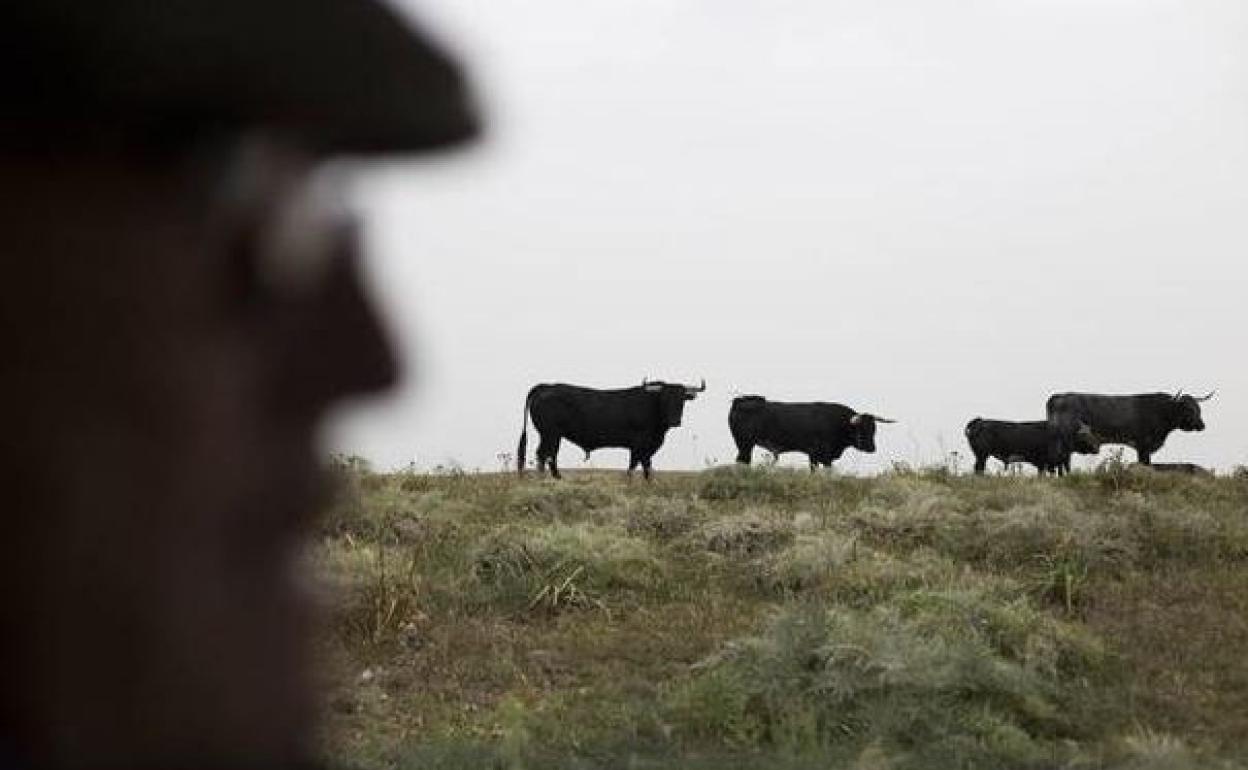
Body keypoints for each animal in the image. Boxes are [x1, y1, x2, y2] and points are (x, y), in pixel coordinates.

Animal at [511, 376, 703, 476]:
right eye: (664, 399)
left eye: (682, 400)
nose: (675, 421)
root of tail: (546, 386)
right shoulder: (639, 444)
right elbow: (636, 465)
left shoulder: (647, 446)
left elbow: (645, 466)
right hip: (550, 433)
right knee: (545, 454)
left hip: (552, 435)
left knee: (549, 455)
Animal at [728, 396, 893, 469]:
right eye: (861, 429)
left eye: (874, 429)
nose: (872, 449)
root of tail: (740, 401)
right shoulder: (820, 455)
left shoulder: (816, 456)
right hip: (744, 444)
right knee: (743, 461)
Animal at [963, 414, 1103, 474]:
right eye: (1085, 435)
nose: (1097, 448)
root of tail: (980, 421)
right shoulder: (1045, 463)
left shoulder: (1052, 463)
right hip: (982, 455)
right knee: (979, 469)